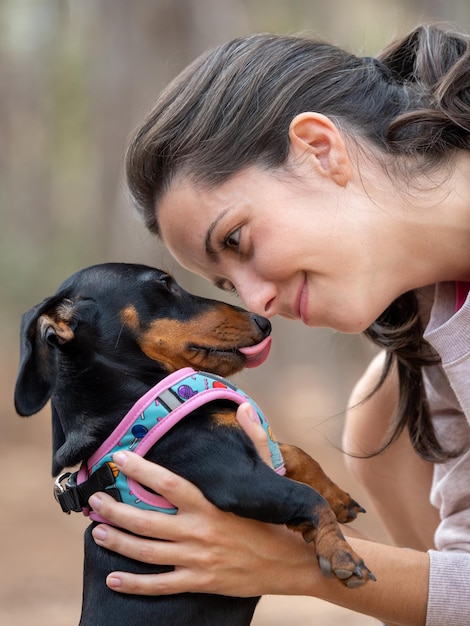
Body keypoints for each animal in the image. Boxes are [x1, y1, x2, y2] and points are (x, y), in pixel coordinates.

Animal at [15, 262, 374, 624]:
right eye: (164, 283)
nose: (264, 322)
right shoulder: (235, 478)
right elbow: (309, 497)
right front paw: (342, 554)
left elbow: (297, 454)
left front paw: (340, 499)